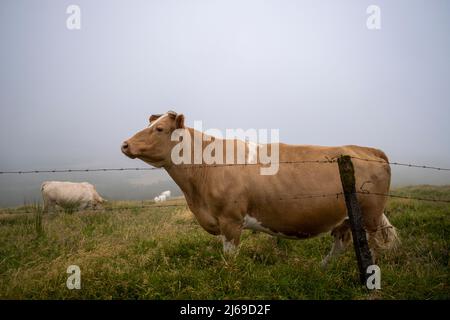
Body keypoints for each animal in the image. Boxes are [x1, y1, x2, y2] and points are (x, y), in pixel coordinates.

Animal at [120, 110, 398, 264]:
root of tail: (366, 148)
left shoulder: (231, 220)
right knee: (341, 244)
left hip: (370, 217)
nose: (124, 144)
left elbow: (229, 258)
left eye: (159, 128)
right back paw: (321, 269)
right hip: (345, 218)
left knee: (373, 247)